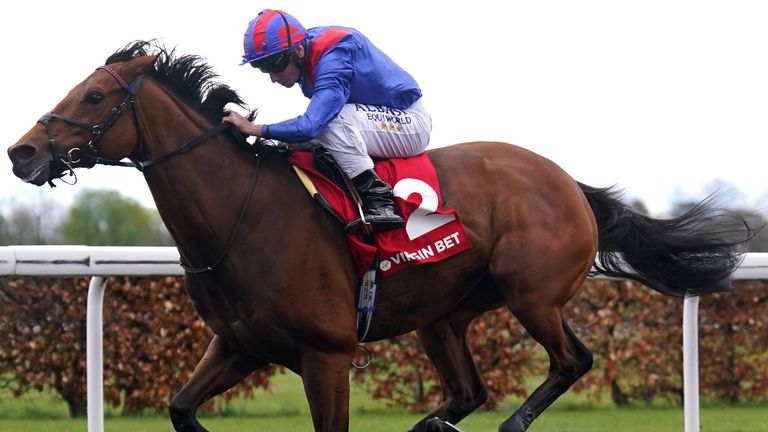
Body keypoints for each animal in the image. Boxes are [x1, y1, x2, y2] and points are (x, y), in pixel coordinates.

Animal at [7, 41, 752, 432]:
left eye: (94, 98)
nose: (22, 152)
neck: (243, 216)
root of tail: (570, 183)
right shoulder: (240, 345)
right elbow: (181, 407)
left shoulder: (326, 353)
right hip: (443, 314)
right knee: (469, 390)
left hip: (530, 293)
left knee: (571, 361)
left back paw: (510, 423)